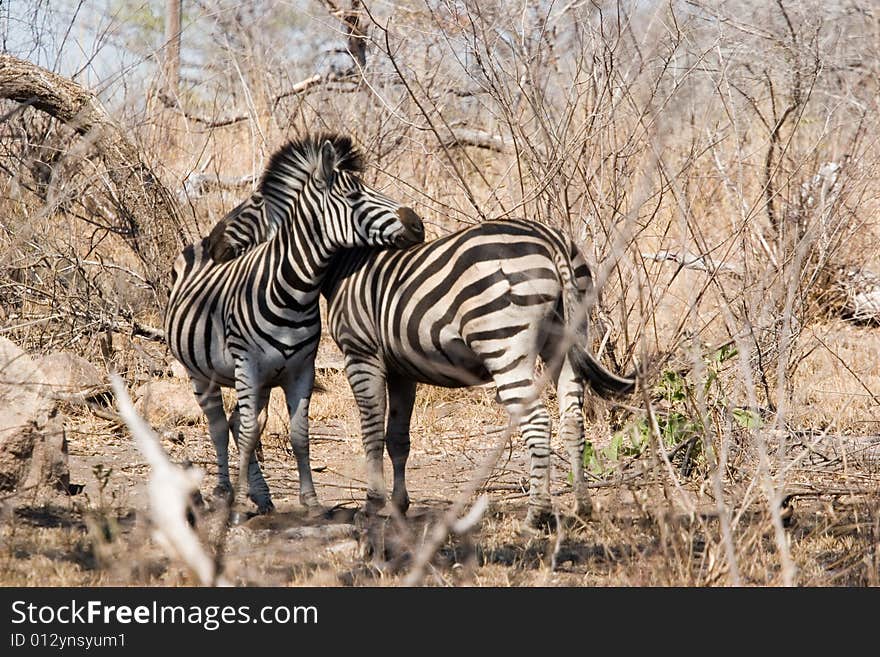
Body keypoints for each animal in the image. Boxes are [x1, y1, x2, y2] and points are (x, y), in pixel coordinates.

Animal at [168, 133, 426, 516]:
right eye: (354, 196)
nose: (418, 224)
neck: (293, 291)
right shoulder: (248, 367)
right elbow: (248, 435)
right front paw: (239, 503)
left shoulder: (301, 370)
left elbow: (298, 434)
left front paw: (311, 501)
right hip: (201, 374)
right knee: (219, 428)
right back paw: (226, 492)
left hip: (260, 382)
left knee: (236, 423)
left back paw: (260, 496)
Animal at [206, 211, 632, 532]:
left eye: (248, 210)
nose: (209, 246)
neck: (344, 265)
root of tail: (550, 240)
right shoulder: (402, 370)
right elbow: (398, 438)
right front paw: (399, 504)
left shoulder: (362, 356)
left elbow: (372, 431)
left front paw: (372, 505)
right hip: (567, 340)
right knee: (573, 418)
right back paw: (582, 505)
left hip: (503, 341)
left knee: (538, 421)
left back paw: (536, 515)